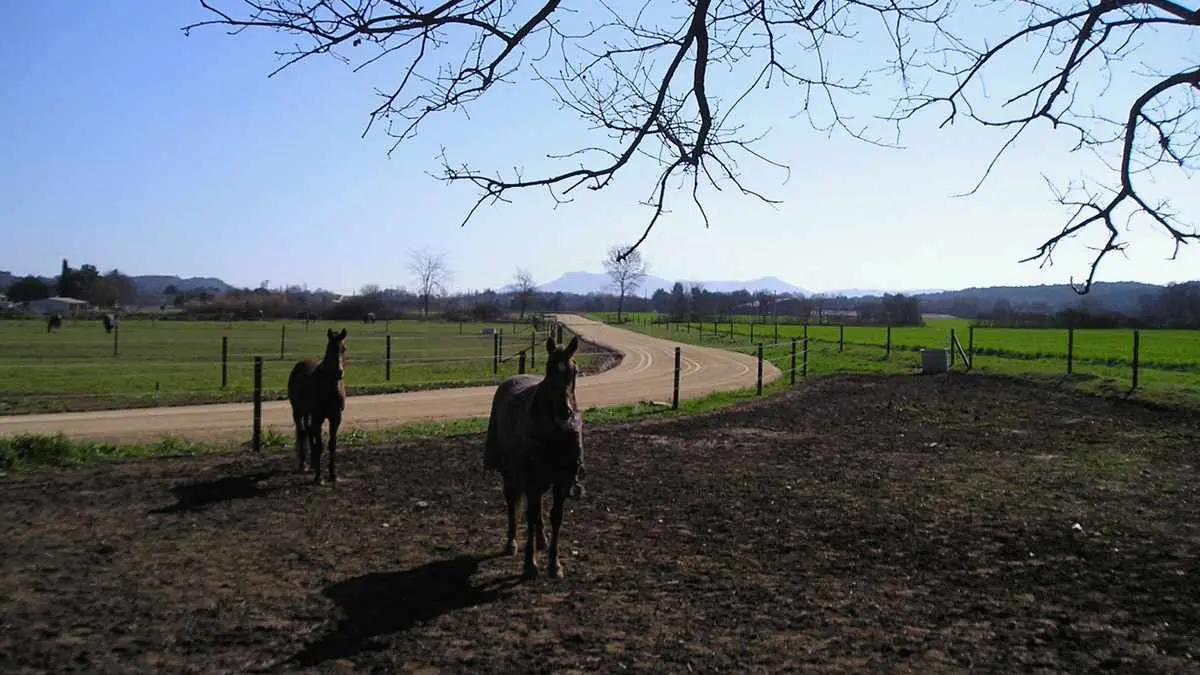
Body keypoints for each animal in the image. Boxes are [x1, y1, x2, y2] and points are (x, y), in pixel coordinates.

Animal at [286, 326, 348, 480]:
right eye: (329, 347)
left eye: (344, 348)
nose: (339, 372)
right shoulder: (318, 417)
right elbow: (319, 444)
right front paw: (318, 478)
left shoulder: (336, 418)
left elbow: (332, 444)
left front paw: (332, 474)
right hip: (297, 412)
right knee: (302, 432)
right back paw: (303, 464)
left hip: (308, 414)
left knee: (308, 431)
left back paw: (313, 463)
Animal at [482, 333, 585, 576]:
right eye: (549, 368)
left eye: (574, 370)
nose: (564, 411)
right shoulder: (530, 477)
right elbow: (529, 514)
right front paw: (530, 564)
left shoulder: (562, 479)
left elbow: (555, 516)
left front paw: (554, 564)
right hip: (512, 473)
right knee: (513, 501)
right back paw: (512, 543)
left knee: (536, 508)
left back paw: (542, 540)